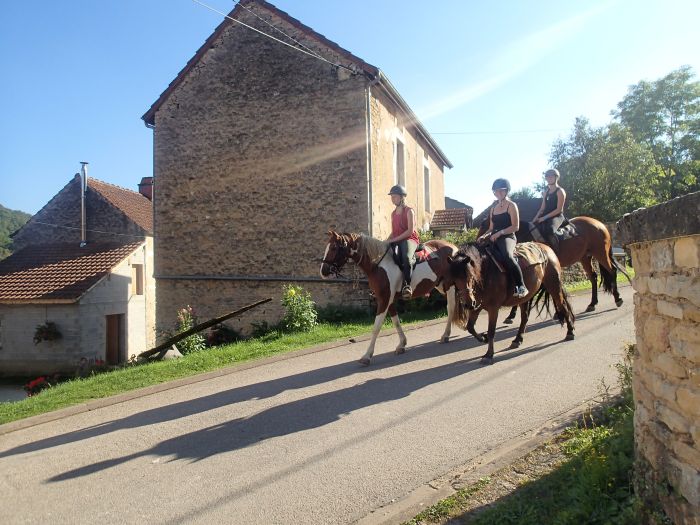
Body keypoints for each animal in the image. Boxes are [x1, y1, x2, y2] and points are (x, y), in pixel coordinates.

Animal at [320, 229, 462, 364]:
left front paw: (367, 356)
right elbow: (396, 321)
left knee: (451, 308)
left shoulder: (384, 299)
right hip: (440, 285)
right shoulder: (389, 300)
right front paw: (402, 344)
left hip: (450, 285)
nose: (323, 271)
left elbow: (376, 327)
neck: (378, 264)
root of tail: (453, 247)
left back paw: (445, 335)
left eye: (333, 248)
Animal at [442, 242, 576, 364]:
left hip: (554, 286)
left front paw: (489, 354)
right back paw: (517, 340)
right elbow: (470, 327)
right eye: (455, 279)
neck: (485, 272)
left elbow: (491, 331)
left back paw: (570, 332)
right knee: (525, 317)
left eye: (470, 276)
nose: (468, 303)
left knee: (563, 306)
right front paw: (483, 338)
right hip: (524, 298)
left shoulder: (493, 308)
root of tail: (547, 248)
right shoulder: (477, 307)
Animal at [478, 215, 632, 322]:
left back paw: (618, 298)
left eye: (484, 225)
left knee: (612, 271)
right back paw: (592, 303)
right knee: (593, 277)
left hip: (600, 253)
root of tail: (599, 224)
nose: (479, 240)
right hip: (585, 257)